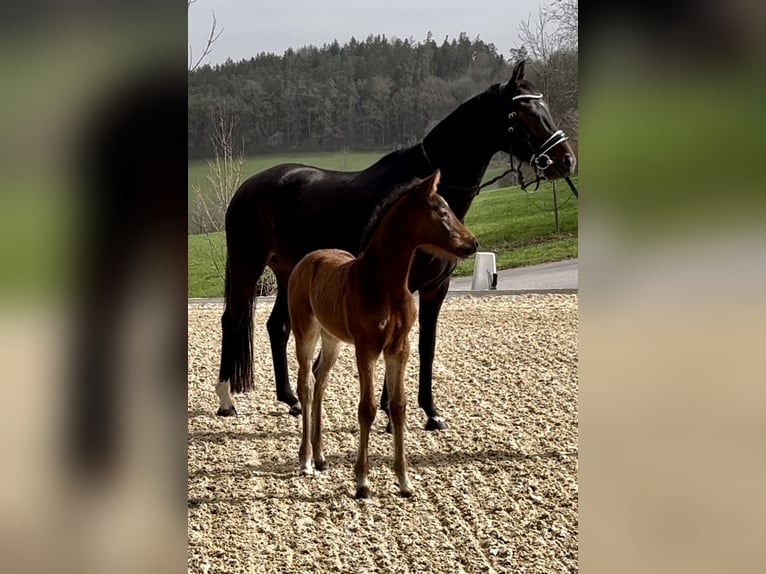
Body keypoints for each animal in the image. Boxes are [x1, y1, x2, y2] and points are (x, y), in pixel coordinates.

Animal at [216, 60, 576, 430]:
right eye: (520, 112)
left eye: (543, 106)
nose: (566, 160)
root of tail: (248, 187)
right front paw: (391, 413)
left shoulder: (435, 289)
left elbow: (426, 345)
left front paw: (429, 413)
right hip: (247, 264)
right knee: (232, 319)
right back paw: (227, 400)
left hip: (288, 272)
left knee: (278, 326)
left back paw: (291, 400)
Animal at [288, 171, 480, 500]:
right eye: (442, 212)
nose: (472, 243)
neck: (383, 285)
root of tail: (308, 260)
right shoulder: (366, 348)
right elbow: (367, 408)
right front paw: (362, 482)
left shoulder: (398, 348)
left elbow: (398, 406)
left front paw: (404, 482)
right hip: (306, 332)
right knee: (306, 386)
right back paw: (306, 461)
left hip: (332, 338)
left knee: (320, 379)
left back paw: (321, 455)